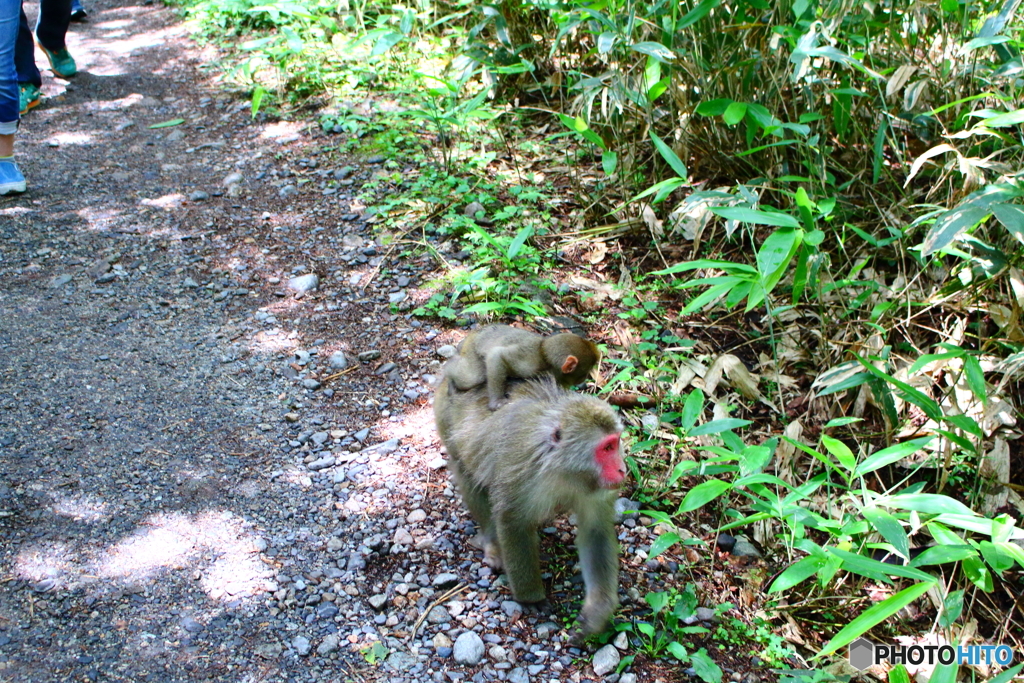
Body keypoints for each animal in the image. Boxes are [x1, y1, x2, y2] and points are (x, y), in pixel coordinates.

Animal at [432, 376, 622, 638]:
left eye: (616, 443)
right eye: (607, 448)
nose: (622, 469)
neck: (564, 468)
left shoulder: (596, 487)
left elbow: (596, 531)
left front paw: (598, 610)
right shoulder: (521, 470)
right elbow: (513, 522)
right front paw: (531, 597)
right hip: (446, 418)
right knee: (469, 473)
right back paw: (492, 543)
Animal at [446, 323, 598, 409]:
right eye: (584, 373)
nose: (583, 380)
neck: (544, 355)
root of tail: (475, 332)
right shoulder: (530, 361)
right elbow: (497, 355)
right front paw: (496, 402)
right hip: (472, 348)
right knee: (472, 377)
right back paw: (449, 369)